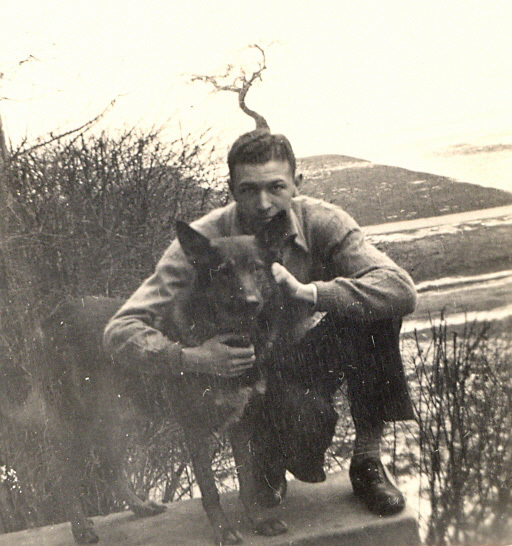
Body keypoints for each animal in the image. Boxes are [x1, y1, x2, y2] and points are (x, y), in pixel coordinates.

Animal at [39, 210, 304, 540]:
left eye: (256, 268)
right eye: (223, 272)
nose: (251, 302)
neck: (229, 334)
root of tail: (57, 315)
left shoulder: (241, 421)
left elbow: (247, 482)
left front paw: (258, 521)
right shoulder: (195, 428)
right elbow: (210, 490)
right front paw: (222, 531)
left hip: (121, 416)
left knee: (110, 464)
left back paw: (140, 507)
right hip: (76, 421)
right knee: (64, 476)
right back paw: (81, 528)